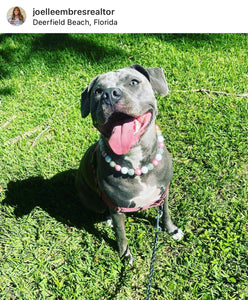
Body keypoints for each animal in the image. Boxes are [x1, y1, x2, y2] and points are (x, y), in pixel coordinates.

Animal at [76, 64, 184, 264]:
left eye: (133, 82)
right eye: (98, 91)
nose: (109, 94)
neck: (136, 165)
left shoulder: (163, 192)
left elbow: (166, 213)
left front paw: (172, 230)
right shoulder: (117, 209)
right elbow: (121, 235)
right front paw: (125, 255)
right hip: (92, 200)